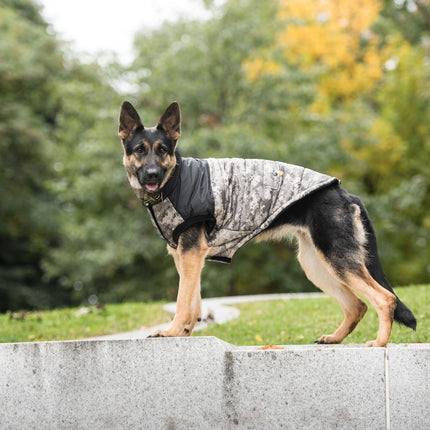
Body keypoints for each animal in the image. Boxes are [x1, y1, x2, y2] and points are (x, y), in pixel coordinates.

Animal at [118, 100, 416, 346]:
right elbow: (194, 301)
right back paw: (334, 338)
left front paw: (171, 332)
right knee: (357, 306)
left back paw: (380, 343)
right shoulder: (185, 257)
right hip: (316, 265)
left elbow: (182, 301)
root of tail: (345, 193)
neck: (175, 180)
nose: (152, 174)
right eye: (140, 150)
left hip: (337, 260)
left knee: (385, 299)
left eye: (162, 150)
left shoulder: (190, 254)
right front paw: (184, 332)